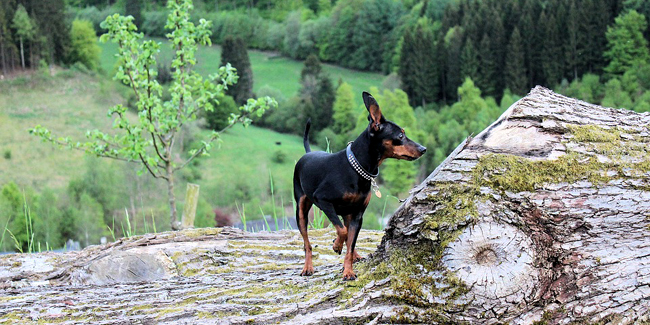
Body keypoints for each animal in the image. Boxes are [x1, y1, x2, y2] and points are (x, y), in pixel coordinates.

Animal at [292, 90, 426, 278]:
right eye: (400, 135)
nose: (423, 149)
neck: (355, 169)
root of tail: (308, 154)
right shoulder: (323, 201)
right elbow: (342, 232)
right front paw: (336, 245)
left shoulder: (357, 215)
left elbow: (350, 242)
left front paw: (348, 271)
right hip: (302, 209)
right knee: (307, 242)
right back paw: (308, 267)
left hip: (347, 213)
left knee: (348, 236)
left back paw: (355, 255)